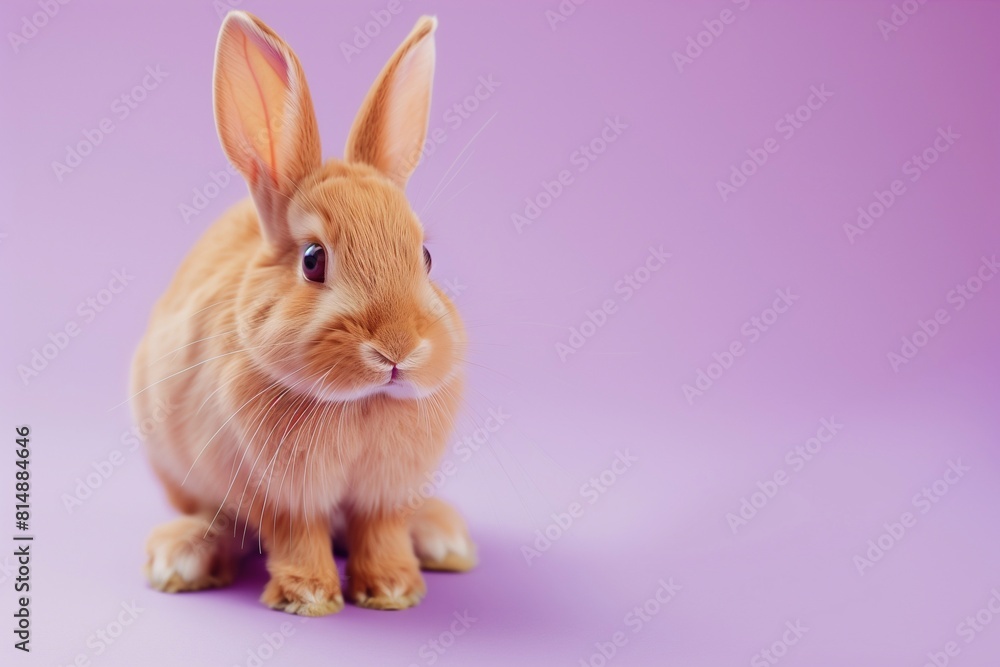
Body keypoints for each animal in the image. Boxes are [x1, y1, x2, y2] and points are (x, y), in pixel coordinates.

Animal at [130, 10, 475, 616]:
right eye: (313, 260)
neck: (359, 404)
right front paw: (309, 596)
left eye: (427, 257)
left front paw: (393, 590)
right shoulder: (276, 492)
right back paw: (184, 556)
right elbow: (297, 535)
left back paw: (442, 536)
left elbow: (382, 530)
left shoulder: (386, 494)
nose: (398, 349)